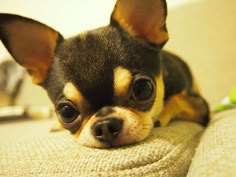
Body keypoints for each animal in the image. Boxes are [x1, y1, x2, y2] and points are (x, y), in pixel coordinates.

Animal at [0, 0, 208, 148]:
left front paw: (162, 112)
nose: (105, 125)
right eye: (66, 112)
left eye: (143, 89)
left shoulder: (201, 108)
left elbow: (177, 99)